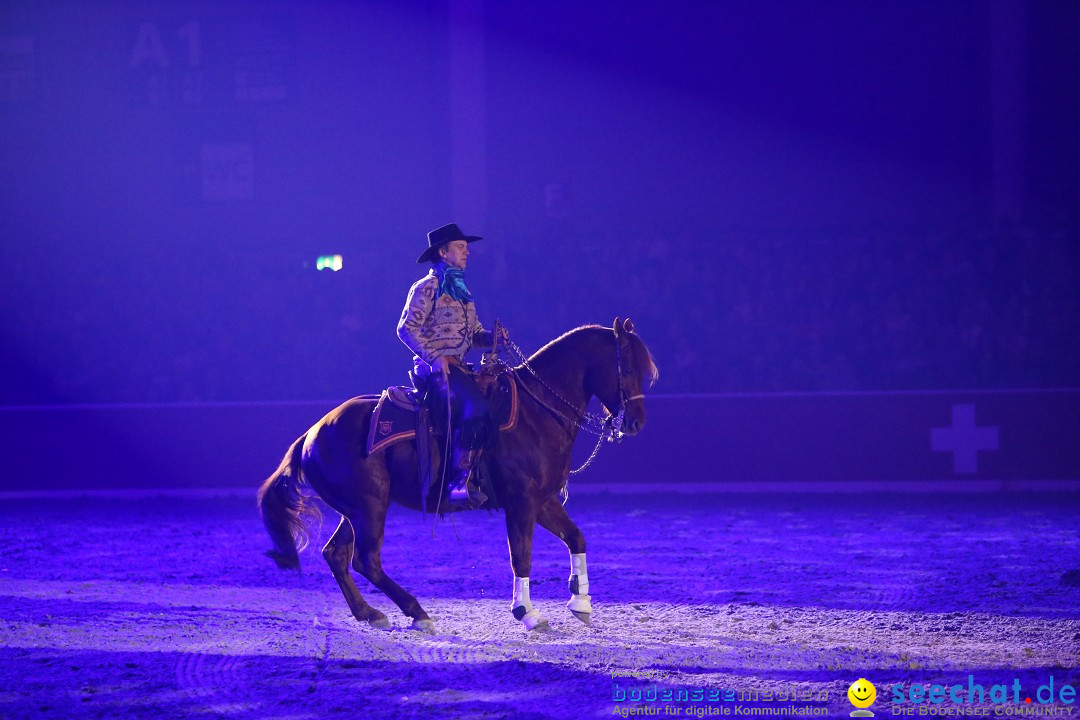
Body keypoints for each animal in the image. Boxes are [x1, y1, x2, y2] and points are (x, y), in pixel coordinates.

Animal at [257, 317, 656, 634]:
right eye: (627, 369)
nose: (637, 423)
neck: (536, 411)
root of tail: (310, 435)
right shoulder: (521, 502)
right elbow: (521, 556)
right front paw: (527, 613)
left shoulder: (543, 500)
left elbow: (576, 538)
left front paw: (580, 604)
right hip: (369, 507)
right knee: (365, 560)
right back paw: (417, 612)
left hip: (354, 509)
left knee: (336, 555)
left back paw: (370, 613)